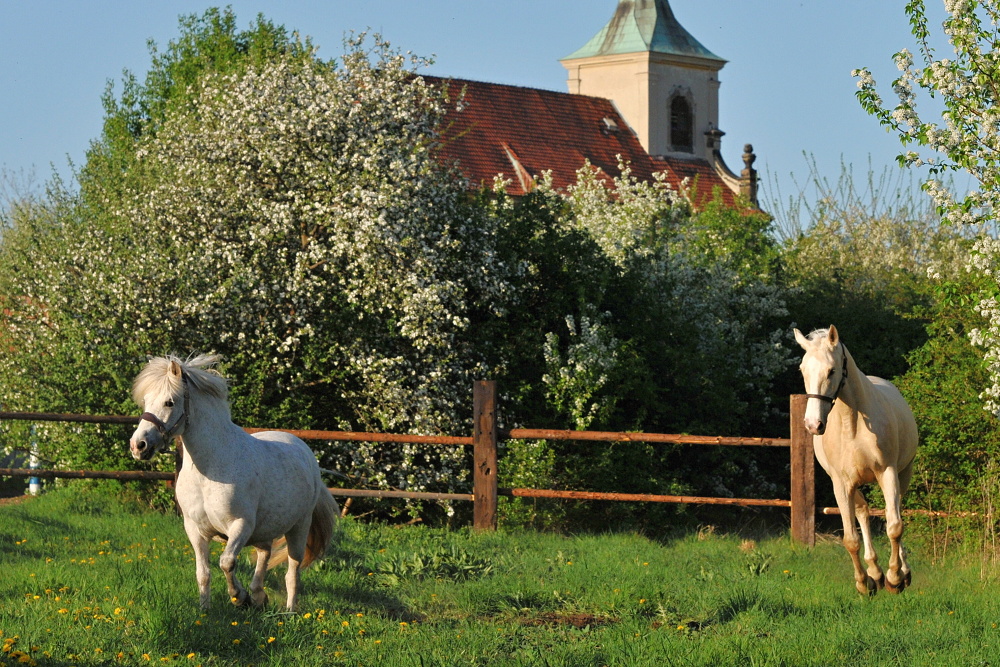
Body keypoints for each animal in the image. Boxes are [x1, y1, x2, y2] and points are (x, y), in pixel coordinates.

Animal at [128, 354, 340, 612]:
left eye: (169, 402)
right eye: (146, 401)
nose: (138, 446)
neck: (209, 470)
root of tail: (305, 451)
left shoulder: (240, 526)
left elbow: (226, 562)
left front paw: (239, 597)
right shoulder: (195, 530)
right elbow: (203, 573)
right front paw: (205, 610)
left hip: (299, 527)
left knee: (292, 571)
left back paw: (289, 609)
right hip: (265, 530)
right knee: (264, 556)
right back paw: (259, 596)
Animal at [792, 324, 916, 596]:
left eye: (831, 370)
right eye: (803, 370)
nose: (813, 425)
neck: (854, 425)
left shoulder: (887, 473)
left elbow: (894, 526)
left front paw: (894, 578)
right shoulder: (841, 483)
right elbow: (850, 539)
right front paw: (864, 583)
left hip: (903, 474)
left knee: (896, 510)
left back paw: (900, 572)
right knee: (862, 512)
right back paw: (874, 572)